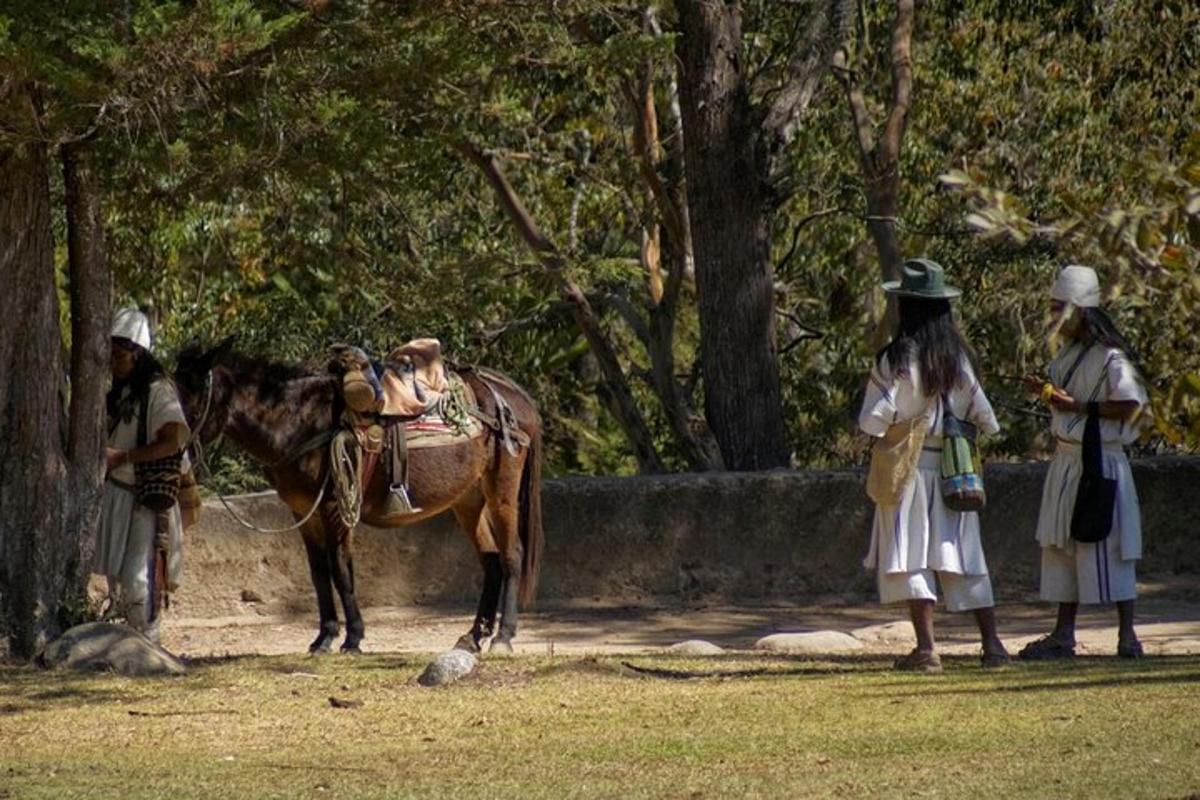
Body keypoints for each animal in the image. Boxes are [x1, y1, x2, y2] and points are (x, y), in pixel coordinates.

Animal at [172, 340, 544, 657]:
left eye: (189, 396)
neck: (299, 422)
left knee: (511, 554)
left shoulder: (336, 506)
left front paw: (352, 638)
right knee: (491, 560)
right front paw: (323, 637)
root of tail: (511, 394)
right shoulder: (303, 512)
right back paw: (473, 636)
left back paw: (503, 637)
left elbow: (341, 569)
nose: (171, 445)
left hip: (502, 488)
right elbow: (319, 572)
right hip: (468, 500)